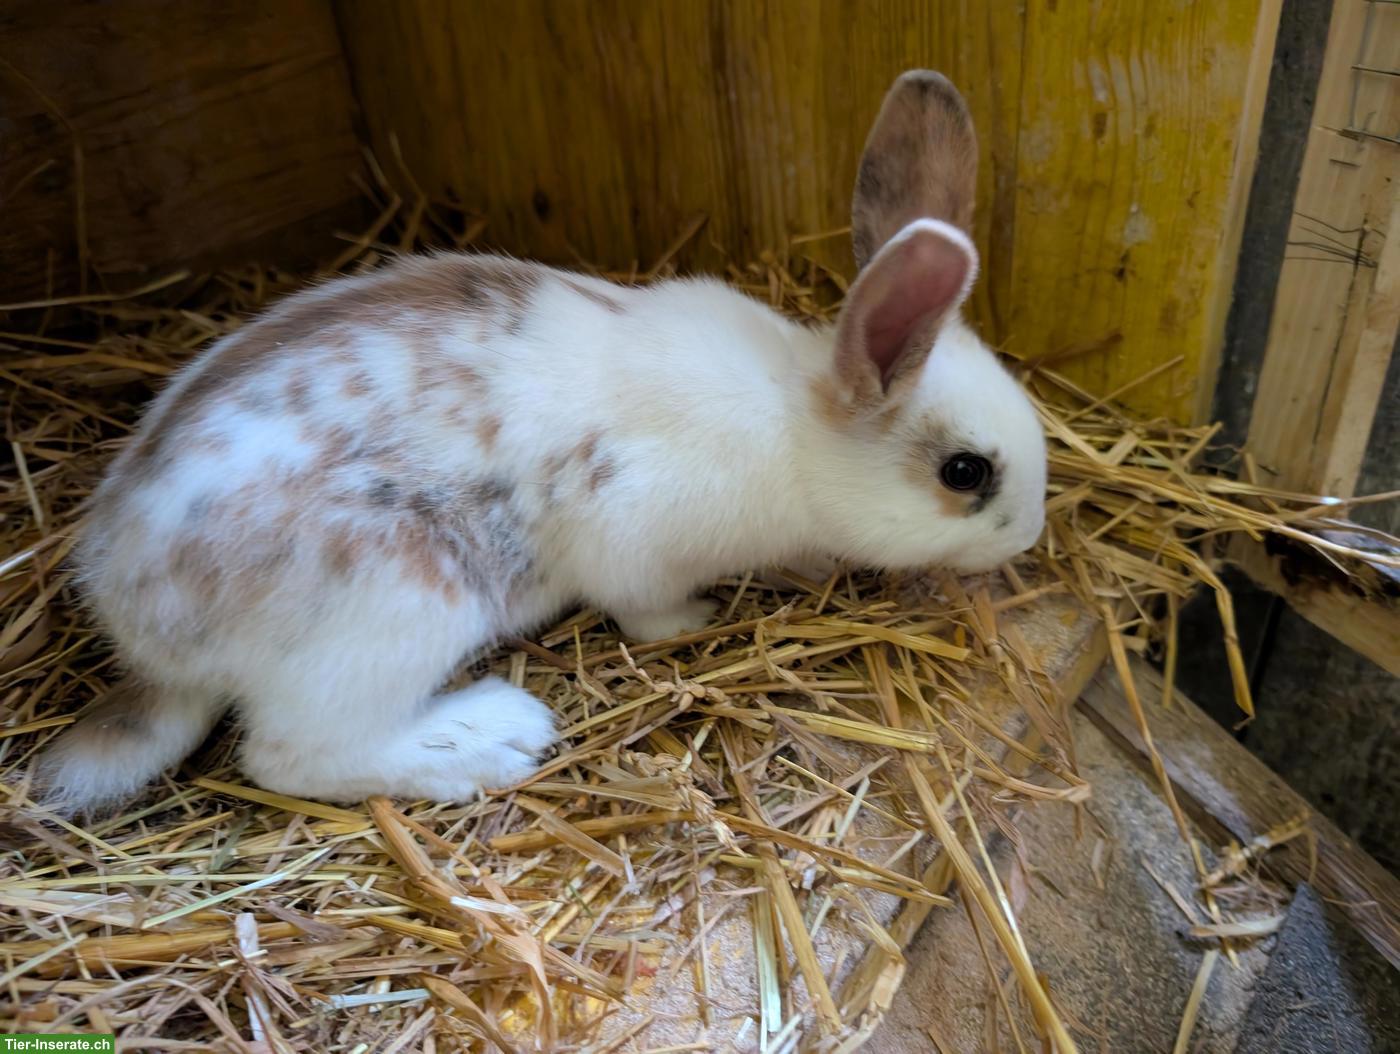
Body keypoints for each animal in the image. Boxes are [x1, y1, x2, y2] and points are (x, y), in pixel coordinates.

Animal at [39, 70, 1047, 812]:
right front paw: (698, 621)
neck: (795, 431)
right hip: (398, 607)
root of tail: (144, 637)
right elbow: (645, 610)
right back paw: (490, 739)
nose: (1029, 538)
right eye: (966, 473)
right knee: (292, 756)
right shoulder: (636, 542)